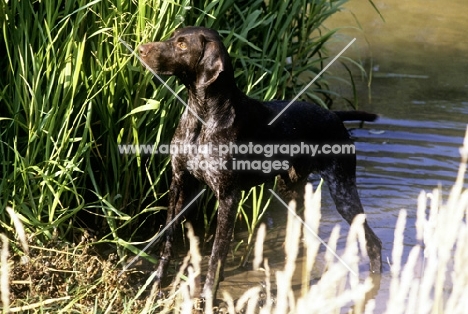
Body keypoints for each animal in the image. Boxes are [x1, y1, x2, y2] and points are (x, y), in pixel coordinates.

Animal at [138, 27, 380, 300]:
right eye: (172, 36)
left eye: (181, 45)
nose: (141, 49)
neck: (202, 116)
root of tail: (334, 114)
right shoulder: (179, 182)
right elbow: (168, 238)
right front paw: (155, 284)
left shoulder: (228, 197)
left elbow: (217, 254)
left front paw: (207, 296)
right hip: (291, 190)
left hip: (343, 192)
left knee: (373, 242)